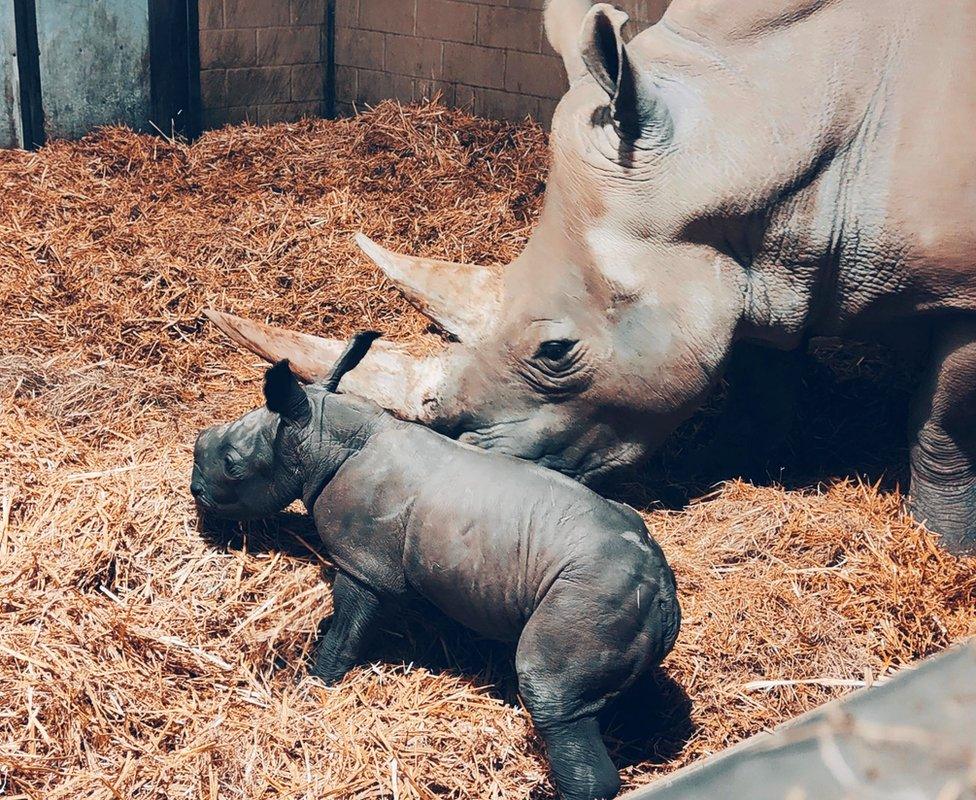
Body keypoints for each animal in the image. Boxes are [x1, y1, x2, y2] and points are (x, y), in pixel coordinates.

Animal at [189, 332, 680, 800]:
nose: (195, 490)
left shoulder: (363, 565)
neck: (318, 434)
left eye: (231, 465)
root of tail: (661, 588)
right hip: (619, 600)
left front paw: (314, 684)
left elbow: (346, 631)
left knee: (550, 694)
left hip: (588, 595)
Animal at [206, 0, 976, 552]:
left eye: (555, 351)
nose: (461, 461)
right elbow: (762, 374)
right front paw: (747, 465)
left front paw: (943, 545)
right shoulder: (764, 252)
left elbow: (944, 426)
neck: (751, 125)